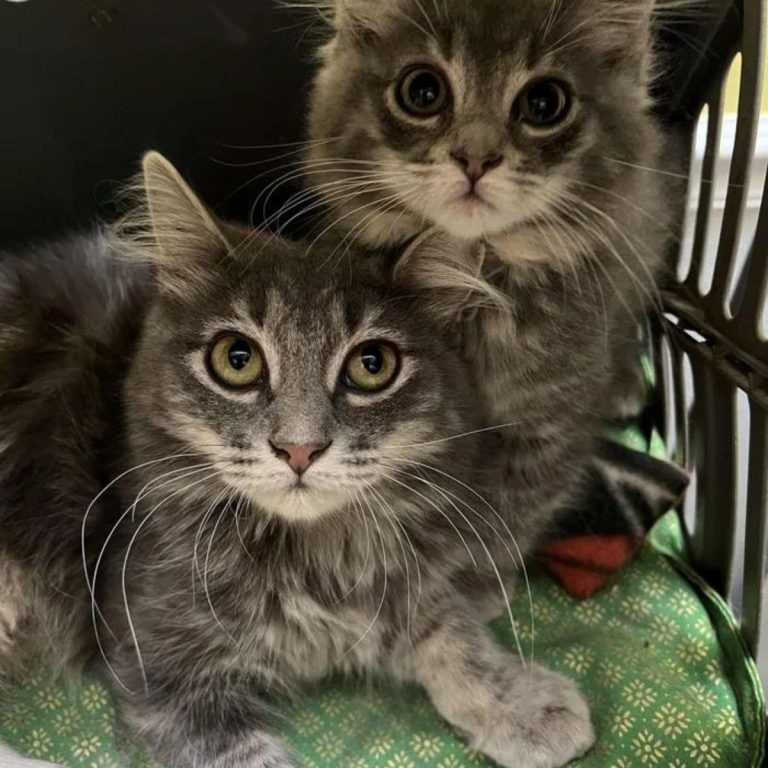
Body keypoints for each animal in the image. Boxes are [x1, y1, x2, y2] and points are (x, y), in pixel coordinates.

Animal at [0, 152, 592, 768]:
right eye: (236, 359)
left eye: (372, 365)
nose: (299, 448)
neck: (318, 555)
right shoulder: (161, 663)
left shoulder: (397, 589)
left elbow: (448, 628)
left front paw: (519, 700)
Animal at [302, 0, 684, 552]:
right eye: (423, 91)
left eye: (544, 103)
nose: (475, 157)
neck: (476, 279)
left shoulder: (545, 431)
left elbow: (502, 530)